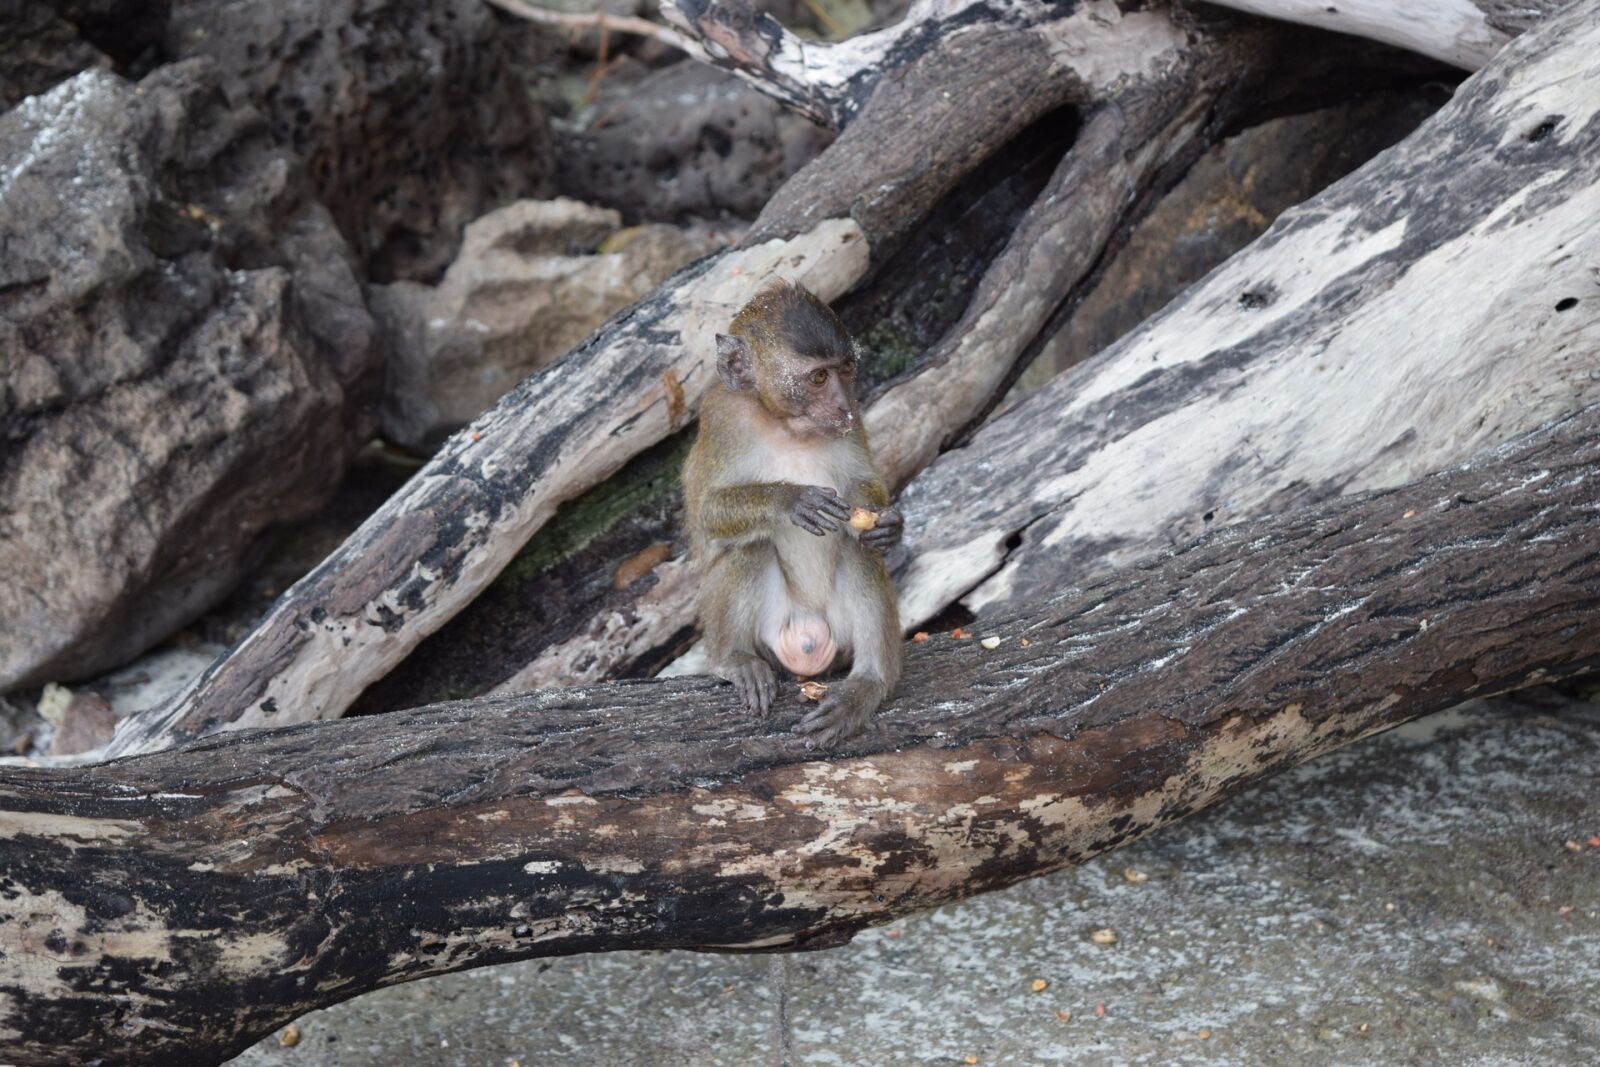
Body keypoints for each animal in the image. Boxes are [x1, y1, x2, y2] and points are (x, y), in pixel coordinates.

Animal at [681, 280, 903, 746]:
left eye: (844, 370)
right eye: (818, 377)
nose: (841, 405)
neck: (785, 425)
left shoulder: (854, 421)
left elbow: (862, 485)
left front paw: (888, 524)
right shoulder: (722, 419)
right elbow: (706, 512)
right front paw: (792, 501)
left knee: (858, 550)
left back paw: (869, 683)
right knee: (751, 546)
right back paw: (734, 658)